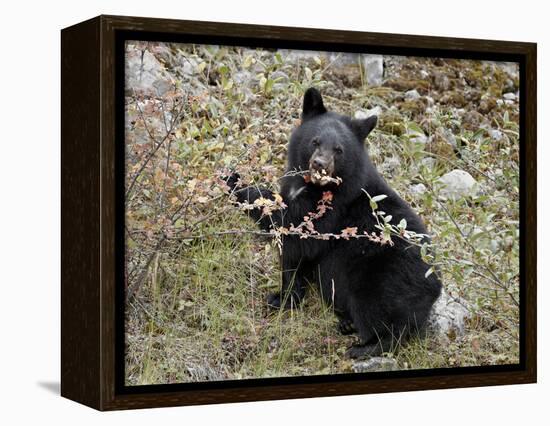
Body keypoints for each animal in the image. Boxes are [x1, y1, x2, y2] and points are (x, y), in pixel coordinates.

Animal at [226, 88, 442, 358]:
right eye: (315, 141)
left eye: (338, 150)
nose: (319, 164)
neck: (311, 186)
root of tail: (435, 289)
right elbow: (294, 259)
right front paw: (284, 298)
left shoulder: (332, 210)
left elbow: (293, 229)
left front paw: (234, 182)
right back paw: (347, 324)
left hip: (383, 279)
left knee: (386, 319)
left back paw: (365, 347)